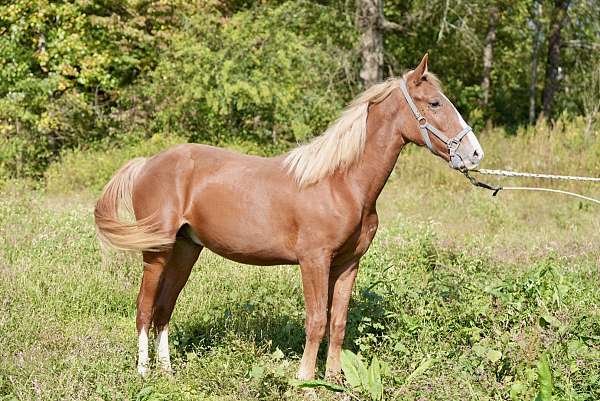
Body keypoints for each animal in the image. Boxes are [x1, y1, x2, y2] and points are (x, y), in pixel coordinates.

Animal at [96, 54, 486, 378]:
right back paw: (143, 373)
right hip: (156, 253)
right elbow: (316, 321)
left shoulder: (348, 263)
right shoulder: (314, 260)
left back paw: (168, 372)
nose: (474, 153)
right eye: (434, 103)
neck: (341, 182)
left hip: (185, 250)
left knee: (164, 310)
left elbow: (337, 322)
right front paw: (305, 380)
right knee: (144, 308)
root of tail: (146, 163)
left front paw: (334, 380)